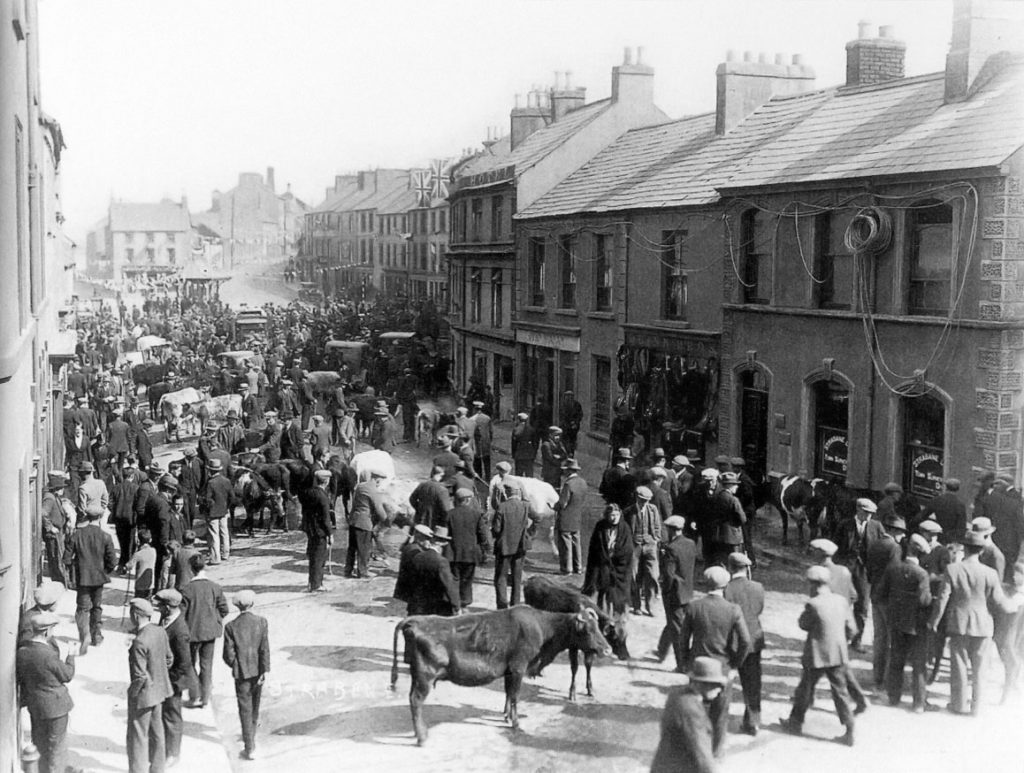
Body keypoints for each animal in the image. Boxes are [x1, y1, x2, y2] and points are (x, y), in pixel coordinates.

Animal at [389, 606, 610, 745]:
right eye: (588, 630)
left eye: (598, 627)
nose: (608, 649)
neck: (542, 627)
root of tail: (413, 621)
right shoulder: (519, 667)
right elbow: (515, 696)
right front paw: (516, 723)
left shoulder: (509, 671)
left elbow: (508, 693)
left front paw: (506, 716)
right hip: (425, 676)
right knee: (416, 701)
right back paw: (421, 737)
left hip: (417, 675)